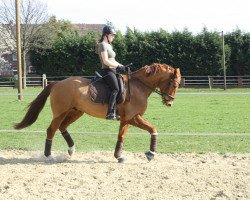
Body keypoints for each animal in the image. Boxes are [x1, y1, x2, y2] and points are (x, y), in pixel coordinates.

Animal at [14, 63, 181, 163]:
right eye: (174, 84)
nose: (170, 102)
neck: (139, 87)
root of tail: (57, 83)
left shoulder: (126, 120)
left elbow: (122, 137)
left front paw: (119, 156)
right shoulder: (132, 118)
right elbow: (152, 129)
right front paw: (151, 153)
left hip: (76, 112)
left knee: (62, 127)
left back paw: (71, 149)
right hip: (61, 113)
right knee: (52, 129)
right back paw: (49, 156)